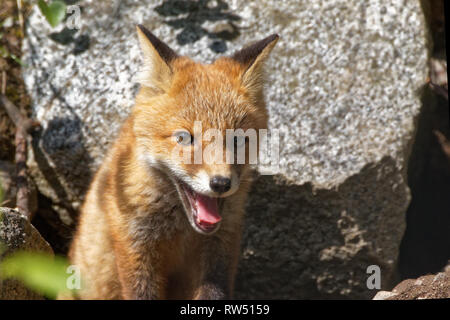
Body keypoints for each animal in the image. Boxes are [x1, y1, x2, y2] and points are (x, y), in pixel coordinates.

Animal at [65, 25, 278, 300]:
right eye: (184, 138)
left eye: (238, 140)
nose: (221, 183)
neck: (181, 229)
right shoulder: (134, 243)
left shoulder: (222, 242)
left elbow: (215, 291)